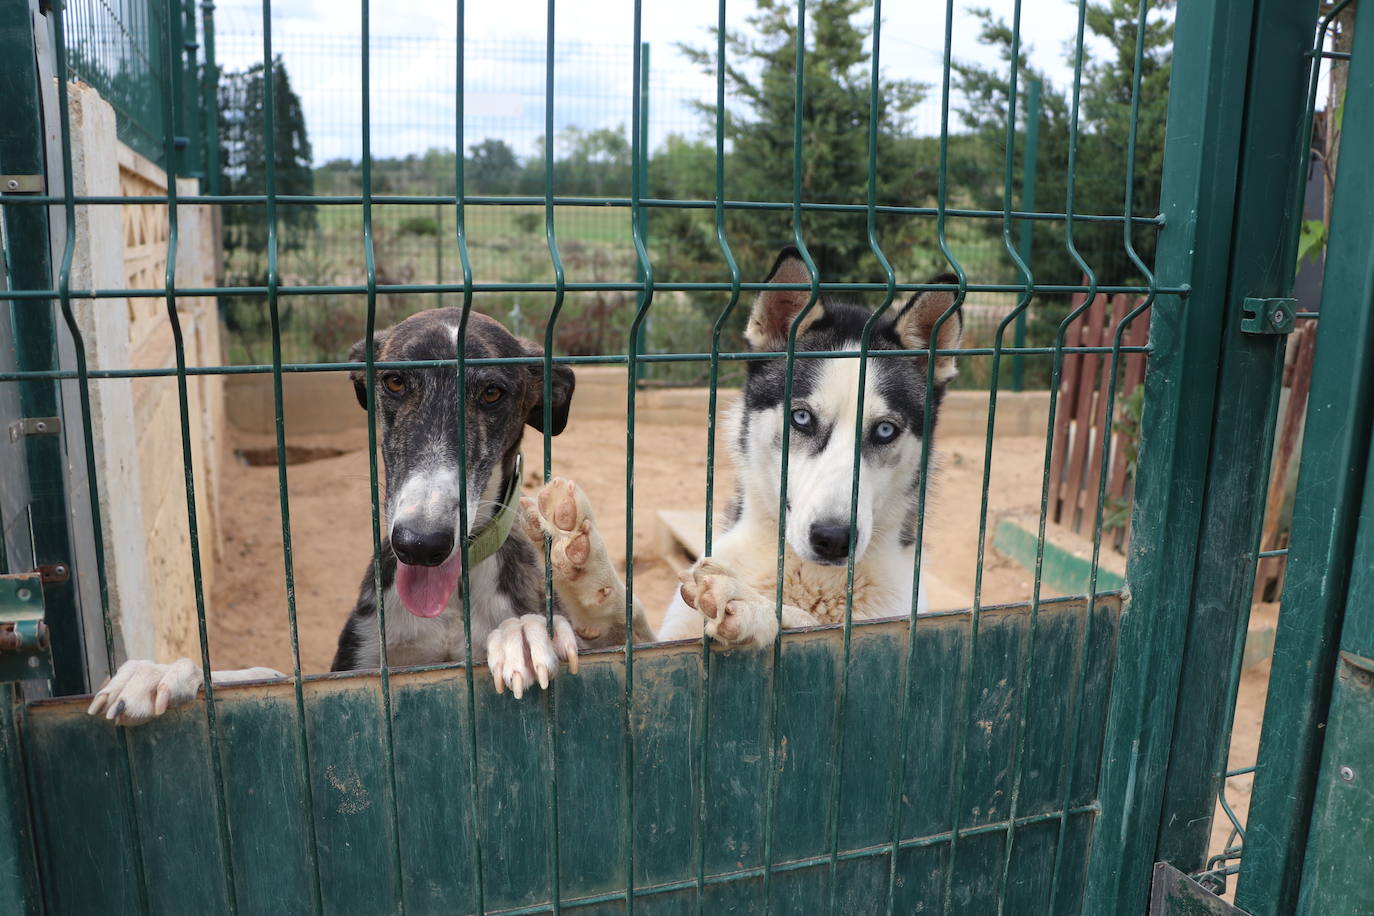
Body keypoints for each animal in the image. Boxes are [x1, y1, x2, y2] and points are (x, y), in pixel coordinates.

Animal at [519, 247, 961, 648]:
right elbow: (626, 624)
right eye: (802, 418)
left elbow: (807, 623)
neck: (806, 576)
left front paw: (752, 604)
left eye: (884, 430)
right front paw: (588, 572)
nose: (834, 538)